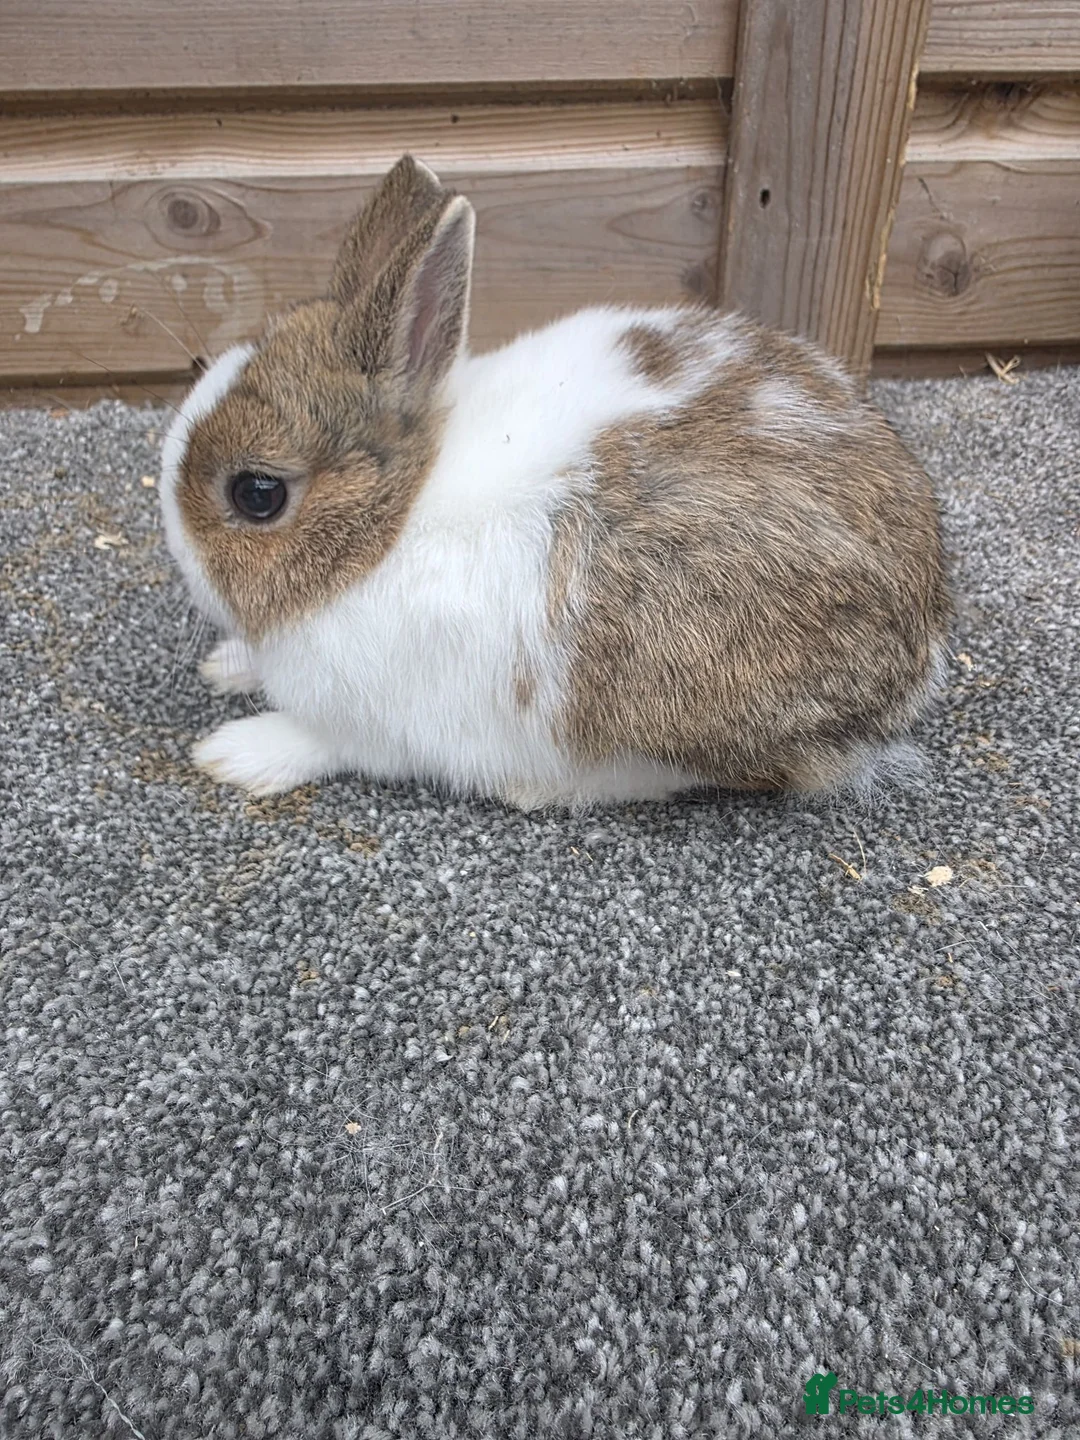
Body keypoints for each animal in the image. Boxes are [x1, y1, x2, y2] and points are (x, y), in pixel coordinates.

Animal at [159, 154, 950, 811]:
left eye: (257, 494)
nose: (177, 549)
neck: (387, 527)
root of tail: (921, 646)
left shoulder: (383, 724)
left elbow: (321, 741)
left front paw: (234, 753)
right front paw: (226, 667)